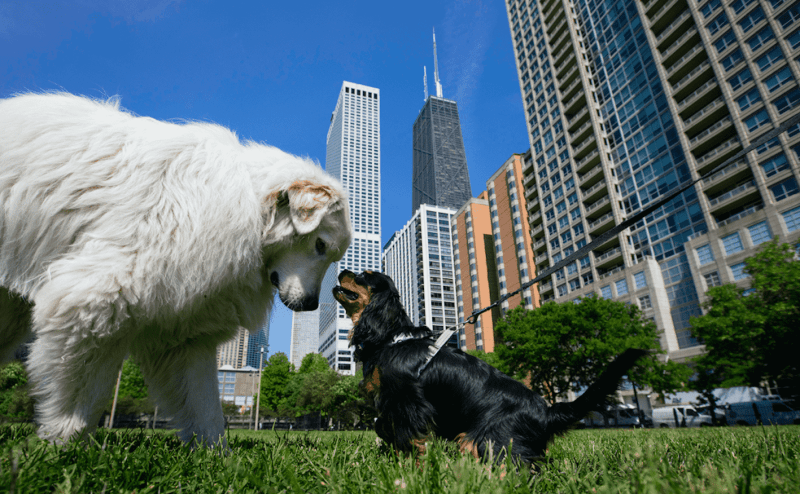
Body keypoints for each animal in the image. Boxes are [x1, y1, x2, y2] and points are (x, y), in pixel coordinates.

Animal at [0, 92, 350, 444]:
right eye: (320, 245)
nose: (311, 305)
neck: (249, 207)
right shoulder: (94, 301)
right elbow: (82, 396)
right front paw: (64, 444)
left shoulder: (183, 336)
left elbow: (207, 412)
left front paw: (216, 456)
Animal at [332, 268, 648, 466]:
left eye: (364, 277)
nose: (342, 270)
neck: (390, 337)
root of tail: (547, 412)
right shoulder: (390, 404)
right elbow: (382, 426)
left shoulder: (407, 402)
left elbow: (407, 439)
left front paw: (407, 470)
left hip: (486, 439)